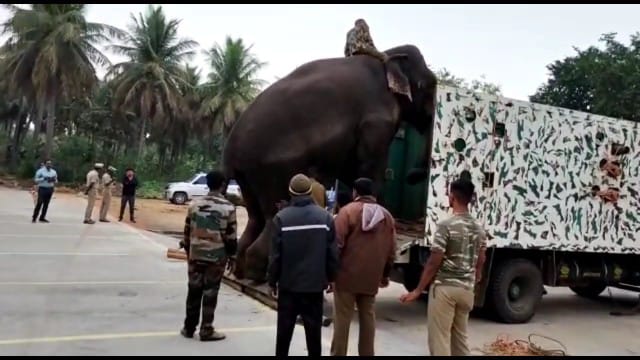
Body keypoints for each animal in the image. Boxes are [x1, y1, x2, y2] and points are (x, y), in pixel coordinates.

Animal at [222, 43, 438, 282]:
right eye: (428, 85)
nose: (412, 176)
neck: (387, 54)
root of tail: (230, 152)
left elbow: (351, 170)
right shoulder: (377, 121)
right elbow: (370, 168)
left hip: (247, 176)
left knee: (255, 217)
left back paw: (241, 270)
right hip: (272, 169)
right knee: (273, 214)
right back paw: (259, 275)